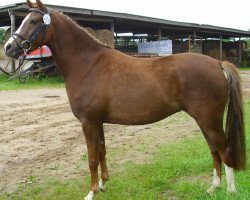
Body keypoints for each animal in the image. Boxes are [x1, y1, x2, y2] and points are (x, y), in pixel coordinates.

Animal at [4, 0, 245, 199]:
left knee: (225, 151)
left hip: (209, 120)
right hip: (203, 120)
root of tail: (218, 64)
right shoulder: (98, 122)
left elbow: (92, 158)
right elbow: (102, 151)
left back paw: (231, 191)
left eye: (34, 21)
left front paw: (91, 192)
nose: (8, 47)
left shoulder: (88, 122)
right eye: (23, 19)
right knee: (214, 150)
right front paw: (103, 185)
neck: (88, 64)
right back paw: (213, 187)